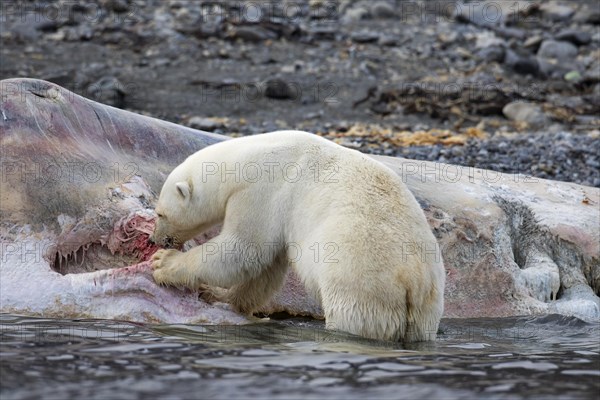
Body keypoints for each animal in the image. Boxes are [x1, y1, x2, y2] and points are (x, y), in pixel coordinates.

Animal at [150, 130, 446, 340]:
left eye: (159, 214)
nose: (155, 239)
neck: (242, 159)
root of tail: (413, 279)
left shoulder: (262, 189)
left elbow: (242, 249)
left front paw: (163, 263)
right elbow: (266, 268)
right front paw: (222, 297)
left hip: (362, 282)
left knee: (355, 317)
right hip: (427, 307)